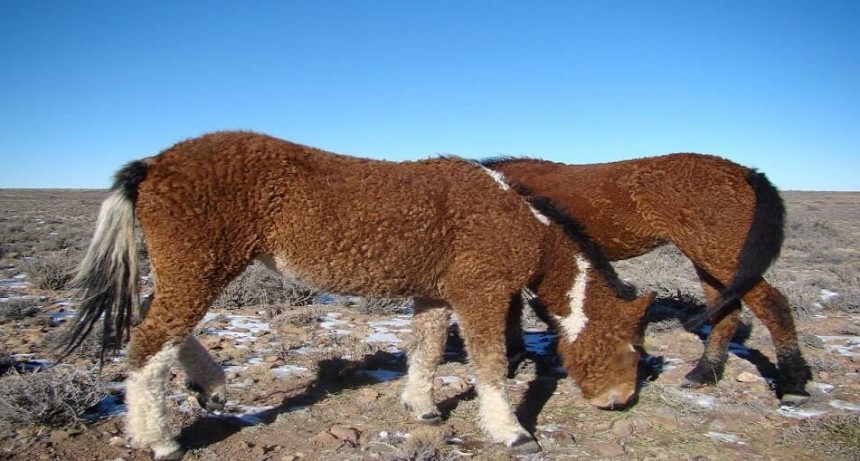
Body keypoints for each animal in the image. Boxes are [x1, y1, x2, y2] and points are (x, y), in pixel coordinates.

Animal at [64, 131, 654, 459]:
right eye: (629, 348)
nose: (619, 402)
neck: (516, 219)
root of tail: (152, 163)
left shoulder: (434, 297)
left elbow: (426, 352)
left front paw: (422, 409)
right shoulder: (481, 297)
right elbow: (489, 365)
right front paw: (511, 433)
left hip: (189, 273)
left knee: (157, 325)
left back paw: (209, 387)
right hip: (200, 270)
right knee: (149, 344)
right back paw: (159, 440)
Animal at [483, 154, 812, 405]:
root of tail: (747, 173)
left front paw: (512, 359)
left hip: (721, 256)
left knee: (773, 305)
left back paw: (793, 384)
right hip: (709, 259)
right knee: (727, 312)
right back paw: (705, 373)